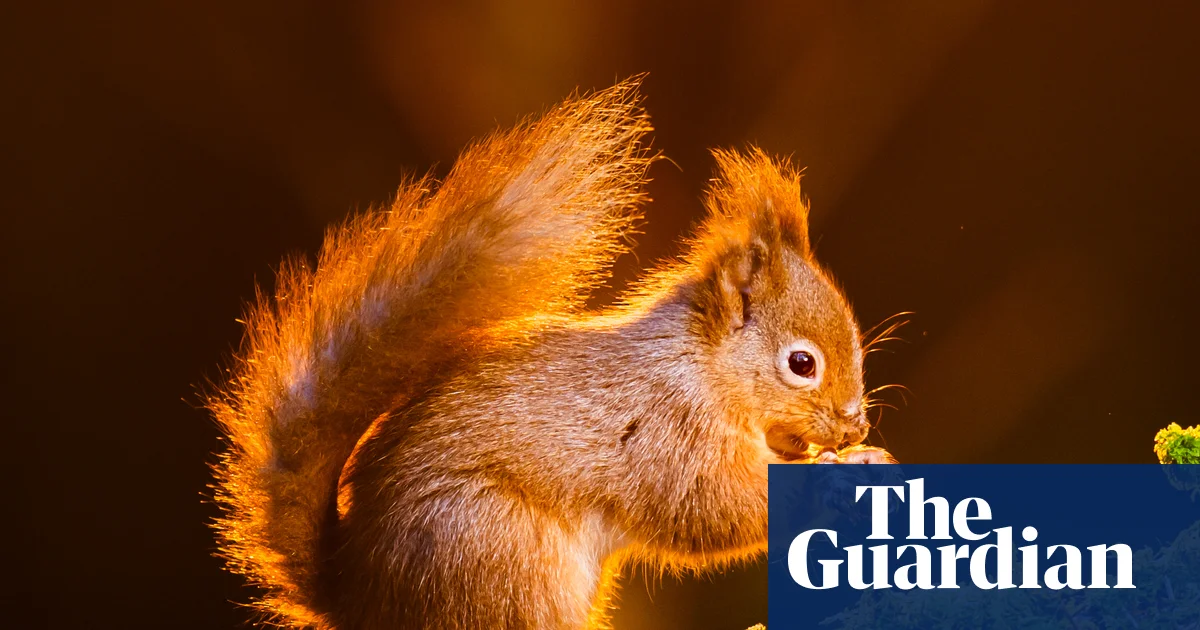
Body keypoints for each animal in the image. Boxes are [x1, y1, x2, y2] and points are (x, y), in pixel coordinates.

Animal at [207, 77, 894, 630]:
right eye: (802, 363)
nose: (855, 425)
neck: (702, 369)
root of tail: (361, 599)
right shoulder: (667, 436)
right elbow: (717, 510)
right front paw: (836, 473)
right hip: (502, 555)